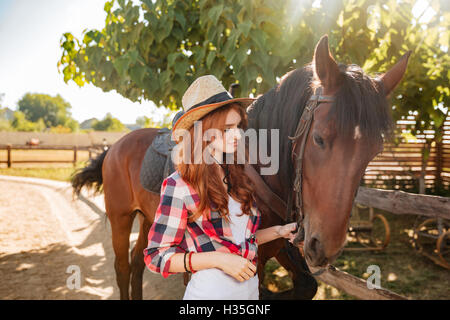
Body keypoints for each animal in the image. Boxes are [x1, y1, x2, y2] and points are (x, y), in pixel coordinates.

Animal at [69, 35, 408, 300]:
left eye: (373, 152)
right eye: (320, 138)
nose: (324, 247)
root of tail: (116, 146)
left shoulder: (278, 247)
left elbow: (305, 285)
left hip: (149, 218)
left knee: (139, 263)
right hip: (121, 216)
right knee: (123, 267)